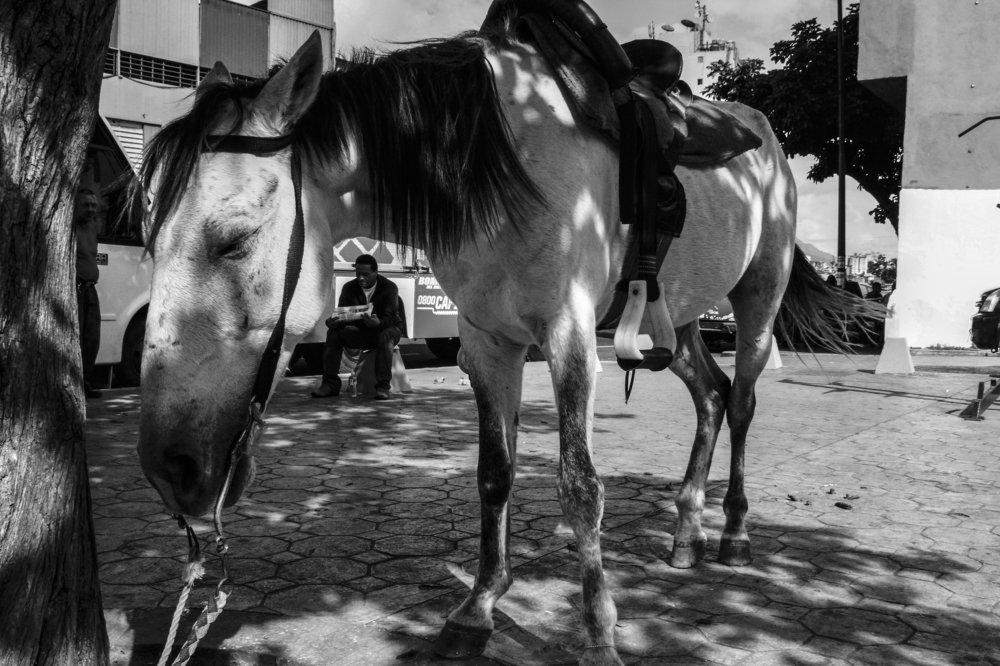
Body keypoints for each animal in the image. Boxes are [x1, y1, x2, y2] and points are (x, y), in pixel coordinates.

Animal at [134, 14, 872, 666]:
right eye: (146, 236)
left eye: (232, 240)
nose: (171, 470)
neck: (496, 162)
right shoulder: (487, 342)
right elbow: (495, 474)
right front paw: (479, 607)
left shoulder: (570, 338)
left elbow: (580, 487)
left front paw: (598, 636)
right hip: (682, 320)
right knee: (712, 398)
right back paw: (687, 529)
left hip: (758, 300)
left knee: (742, 401)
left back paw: (735, 532)